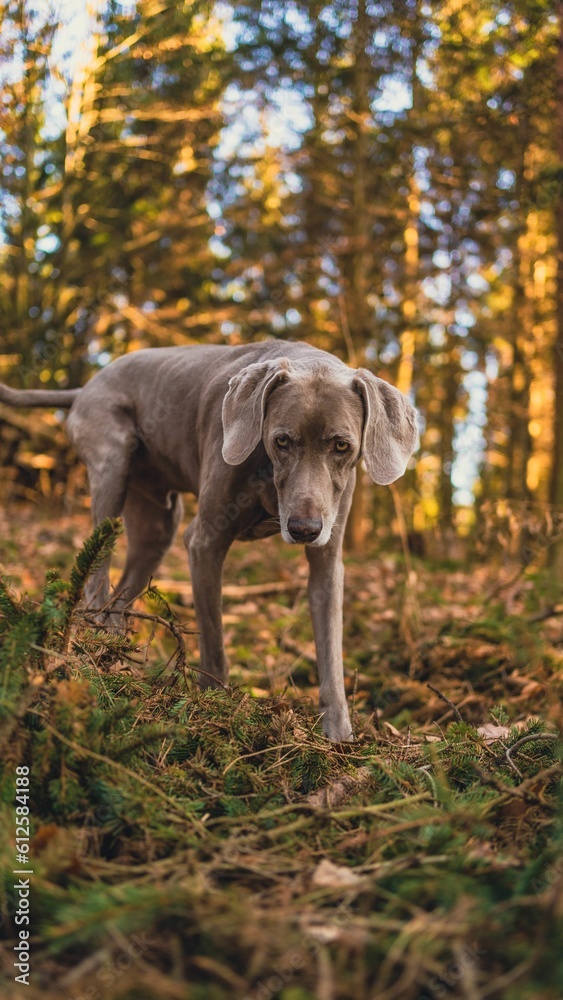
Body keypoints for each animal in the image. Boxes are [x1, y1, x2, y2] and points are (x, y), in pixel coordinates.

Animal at [1, 344, 418, 744]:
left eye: (342, 446)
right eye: (281, 441)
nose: (303, 529)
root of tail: (88, 385)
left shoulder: (328, 560)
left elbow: (330, 649)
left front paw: (338, 732)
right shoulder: (204, 541)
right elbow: (214, 639)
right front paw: (216, 707)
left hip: (158, 525)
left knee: (120, 594)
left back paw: (114, 654)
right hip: (112, 462)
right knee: (96, 573)